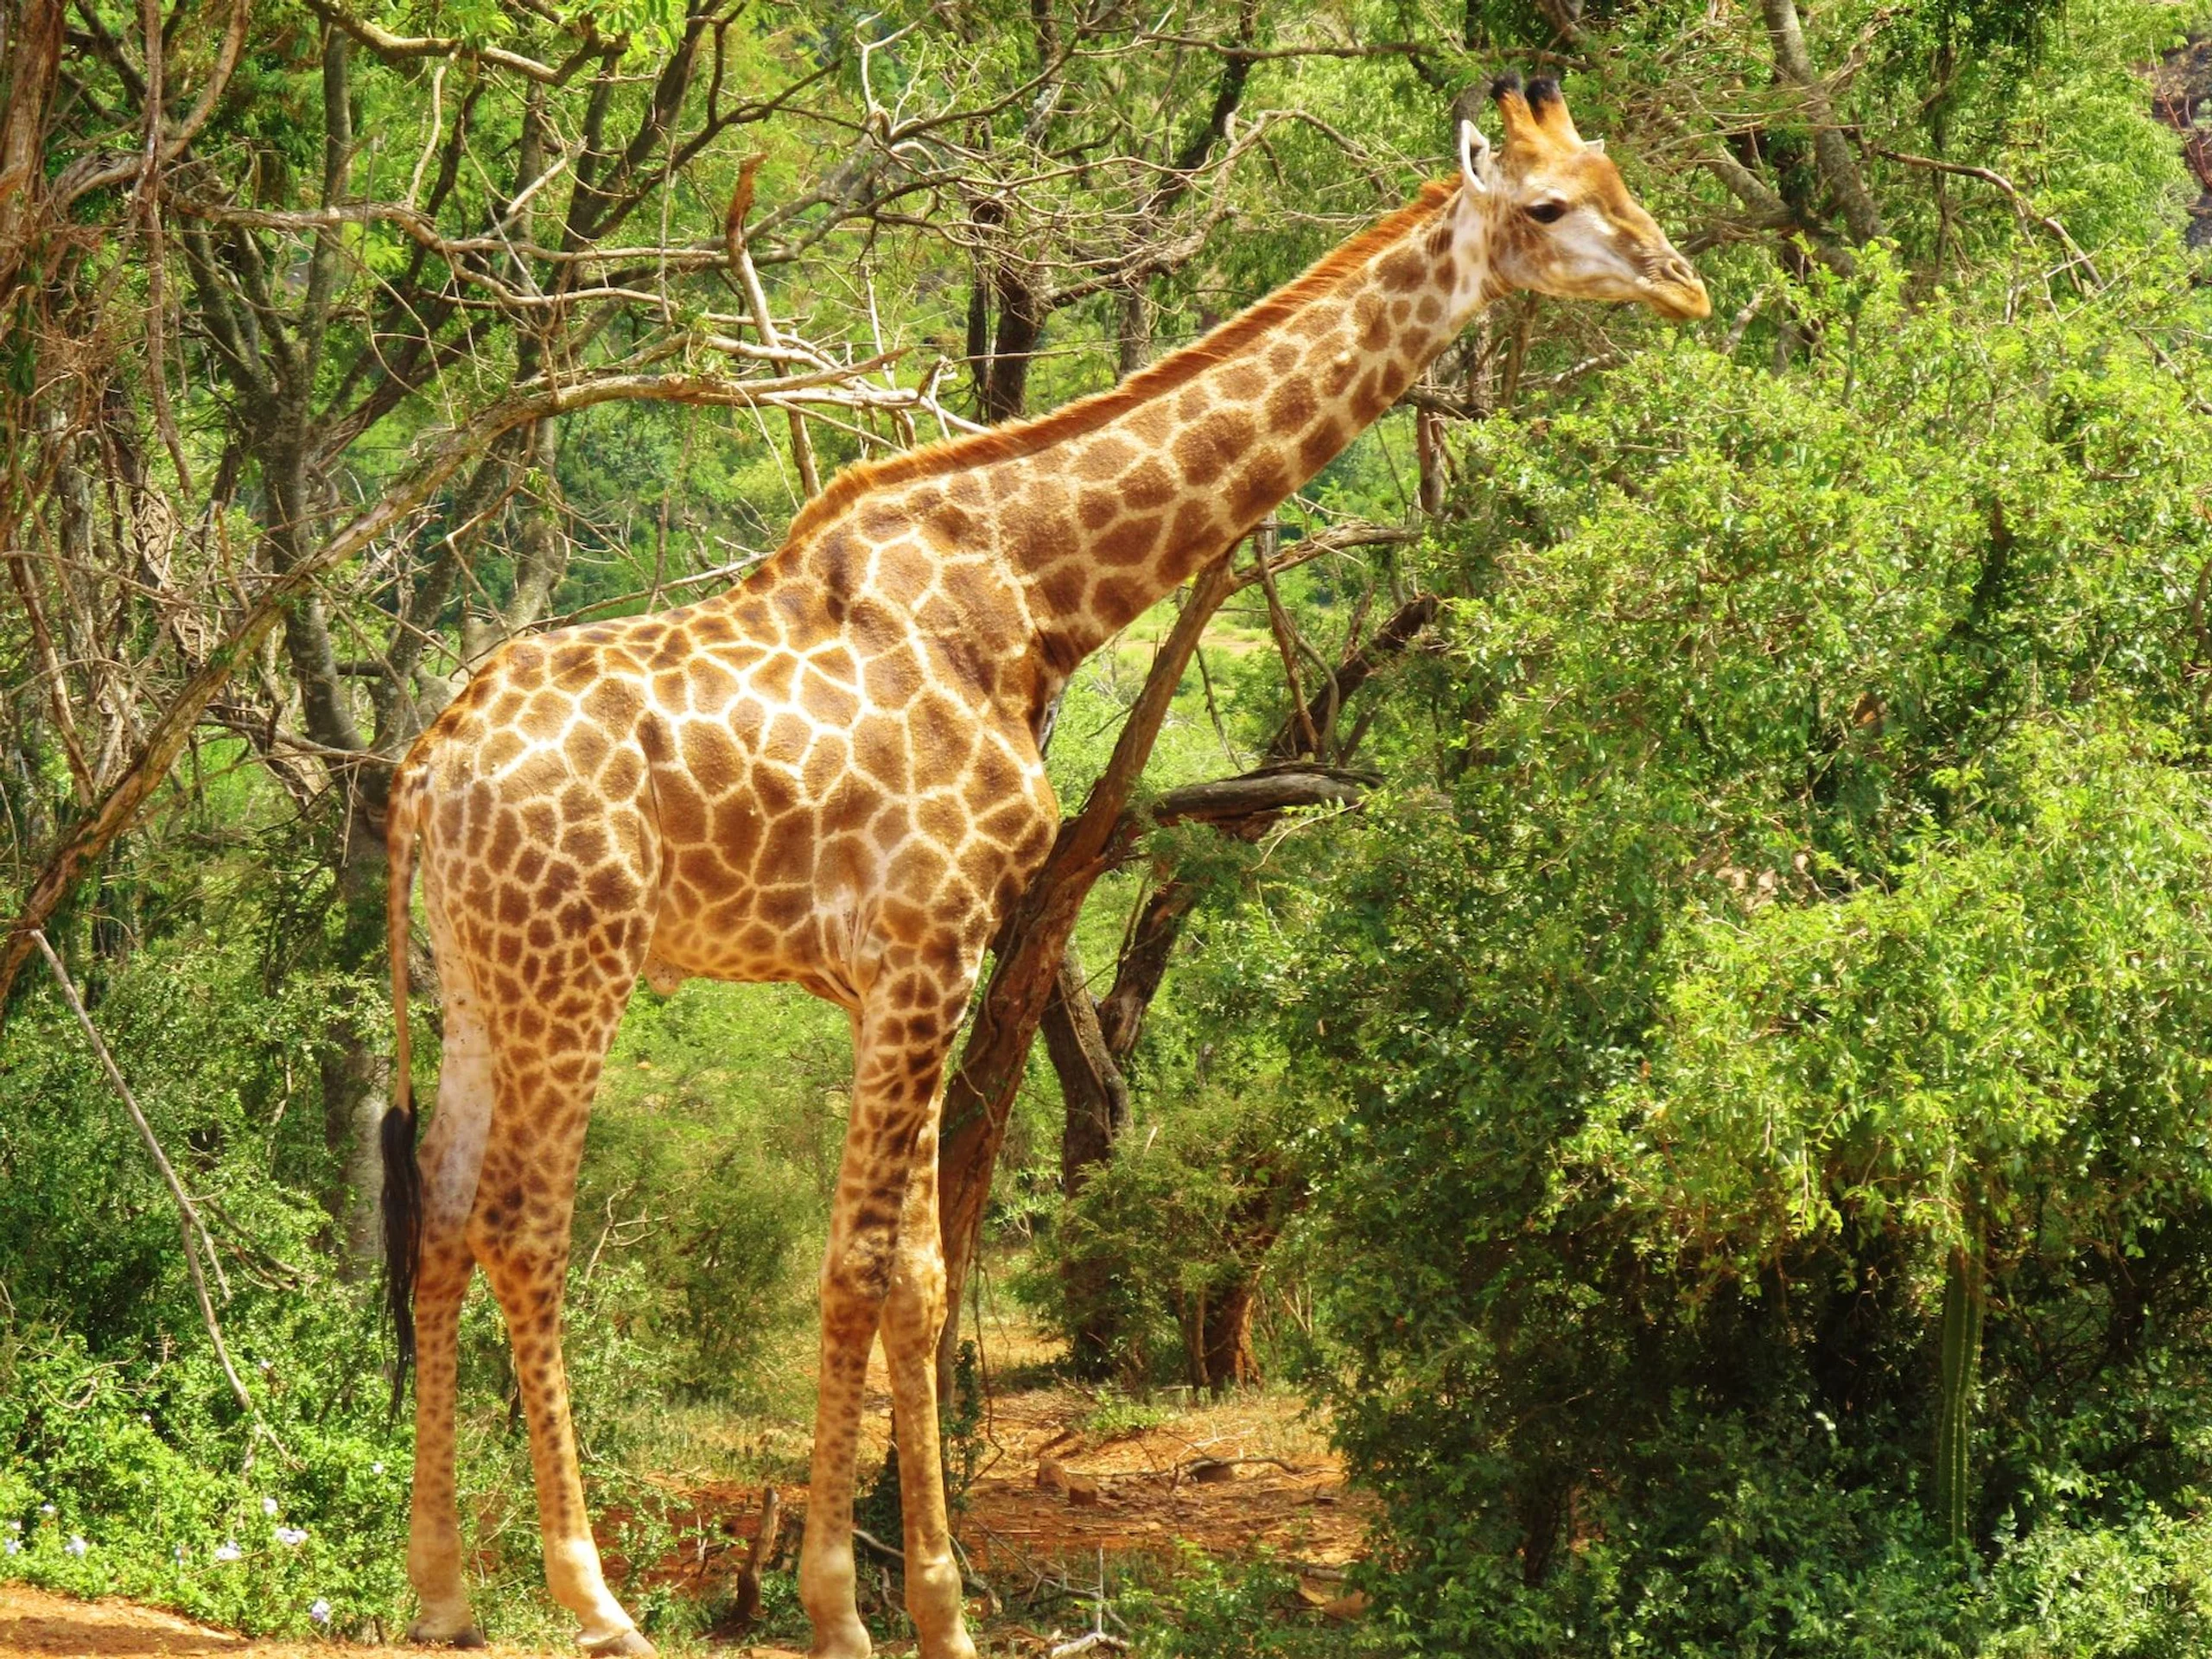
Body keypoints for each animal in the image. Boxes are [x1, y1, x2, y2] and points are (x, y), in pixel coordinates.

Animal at [379, 74, 1706, 1659]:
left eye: (1618, 177)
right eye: (1550, 206)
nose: (1687, 283)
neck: (1032, 594)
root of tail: (428, 766)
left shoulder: (900, 971)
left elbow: (917, 1266)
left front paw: (921, 1607)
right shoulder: (925, 945)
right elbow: (875, 1263)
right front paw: (859, 1611)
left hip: (476, 976)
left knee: (440, 1212)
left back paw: (443, 1588)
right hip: (575, 970)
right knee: (523, 1223)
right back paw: (590, 1598)